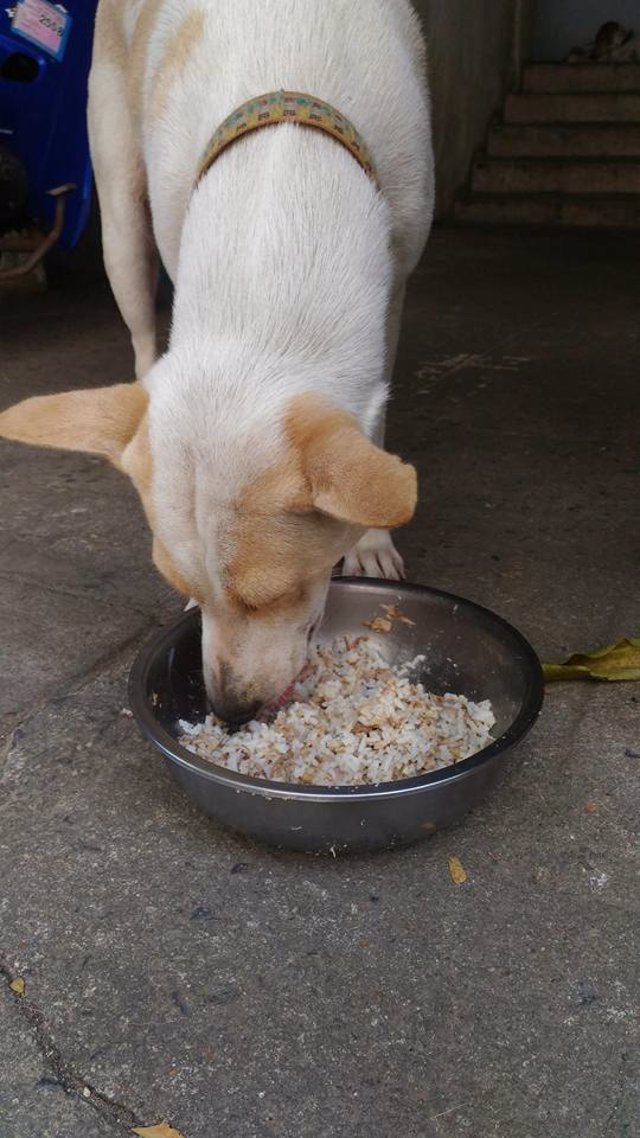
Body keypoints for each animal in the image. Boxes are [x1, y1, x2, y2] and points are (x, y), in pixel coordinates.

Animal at [0, 2, 432, 719]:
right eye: (190, 593)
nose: (227, 712)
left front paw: (370, 540)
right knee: (140, 329)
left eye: (274, 596)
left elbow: (376, 422)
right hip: (119, 212)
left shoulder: (397, 274)